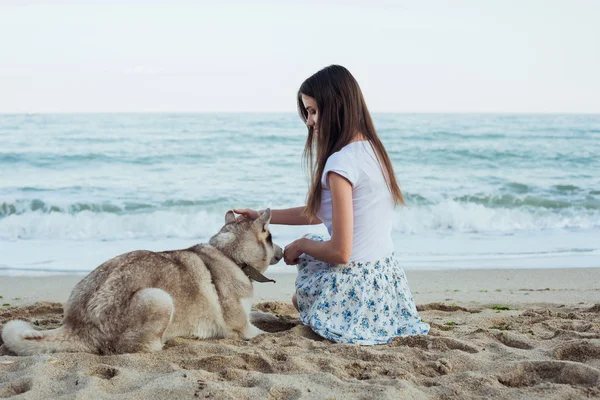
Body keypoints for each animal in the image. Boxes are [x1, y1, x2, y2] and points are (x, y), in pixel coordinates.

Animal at [1, 208, 282, 354]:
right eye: (271, 237)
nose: (282, 251)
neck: (231, 256)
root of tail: (77, 327)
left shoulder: (248, 317)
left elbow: (261, 315)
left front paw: (275, 317)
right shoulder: (244, 331)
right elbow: (263, 331)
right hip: (160, 298)